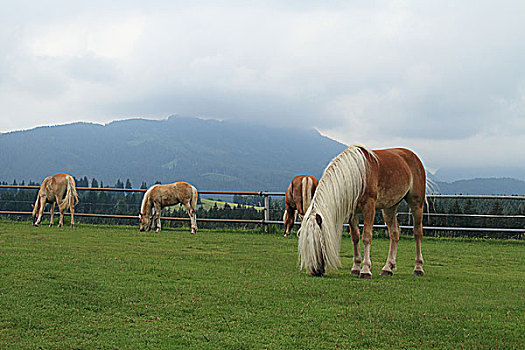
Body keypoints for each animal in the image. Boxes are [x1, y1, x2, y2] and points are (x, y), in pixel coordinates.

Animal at [298, 144, 426, 278]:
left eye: (318, 241)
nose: (315, 271)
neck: (356, 175)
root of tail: (413, 156)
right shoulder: (352, 212)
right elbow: (355, 237)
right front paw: (356, 267)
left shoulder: (369, 206)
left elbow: (366, 236)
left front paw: (365, 270)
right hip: (389, 208)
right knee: (394, 233)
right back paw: (387, 268)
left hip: (416, 204)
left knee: (417, 233)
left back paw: (418, 268)